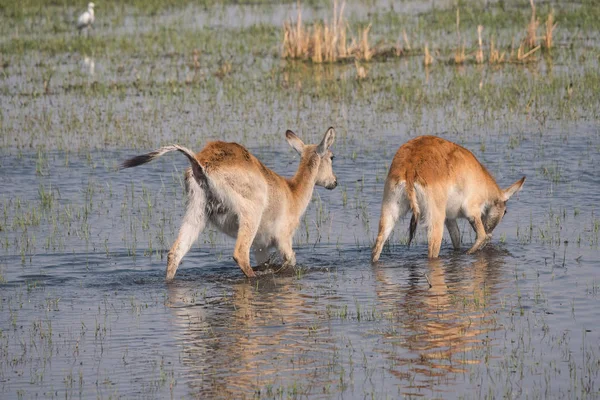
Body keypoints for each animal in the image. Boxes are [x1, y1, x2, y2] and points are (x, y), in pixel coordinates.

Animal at [120, 128, 338, 282]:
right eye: (332, 156)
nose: (334, 182)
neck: (292, 192)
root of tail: (200, 163)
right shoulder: (283, 241)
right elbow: (291, 261)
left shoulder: (261, 247)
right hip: (250, 214)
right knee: (240, 254)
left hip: (197, 213)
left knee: (175, 253)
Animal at [372, 136, 524, 260]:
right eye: (505, 212)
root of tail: (410, 167)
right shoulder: (472, 212)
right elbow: (481, 237)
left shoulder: (450, 219)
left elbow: (456, 240)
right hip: (435, 222)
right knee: (432, 251)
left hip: (389, 212)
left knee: (377, 245)